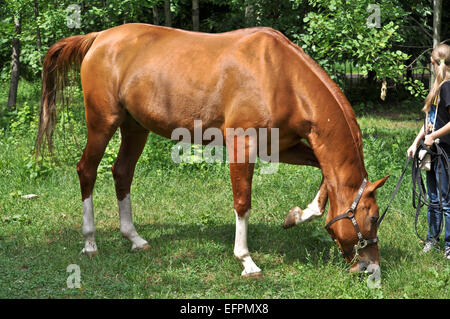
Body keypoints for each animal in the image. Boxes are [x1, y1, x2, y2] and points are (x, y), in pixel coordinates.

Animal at [37, 23, 390, 278]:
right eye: (373, 217)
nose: (370, 268)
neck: (279, 75)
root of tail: (98, 38)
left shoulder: (281, 146)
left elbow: (323, 173)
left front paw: (296, 216)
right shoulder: (242, 146)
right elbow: (242, 202)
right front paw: (247, 261)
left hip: (135, 126)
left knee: (122, 172)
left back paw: (135, 239)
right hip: (102, 122)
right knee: (87, 170)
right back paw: (90, 242)